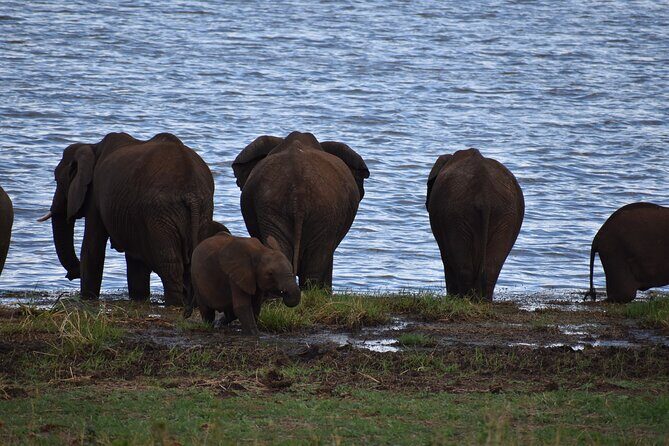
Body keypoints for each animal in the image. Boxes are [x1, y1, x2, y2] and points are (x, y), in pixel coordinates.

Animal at [38, 132, 215, 305]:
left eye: (57, 180)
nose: (72, 274)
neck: (92, 147)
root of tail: (191, 194)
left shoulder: (96, 196)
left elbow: (92, 247)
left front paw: (87, 298)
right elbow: (134, 259)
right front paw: (139, 299)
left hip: (161, 213)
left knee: (170, 262)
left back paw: (174, 304)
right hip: (202, 212)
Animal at [426, 148, 524, 300]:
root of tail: (484, 194)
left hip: (457, 214)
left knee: (461, 263)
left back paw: (463, 299)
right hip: (505, 215)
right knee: (492, 266)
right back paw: (482, 300)